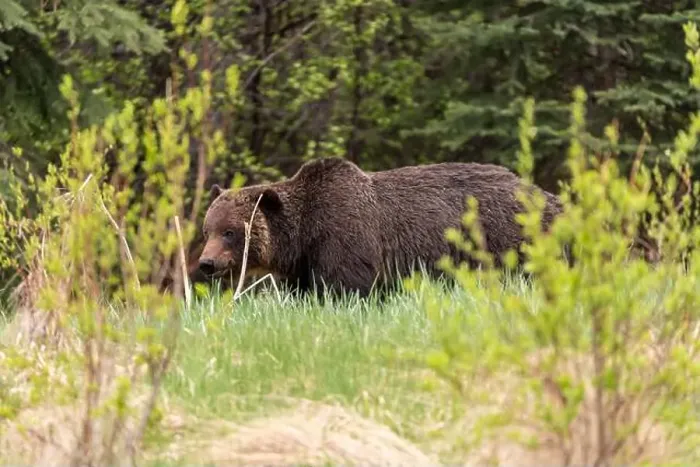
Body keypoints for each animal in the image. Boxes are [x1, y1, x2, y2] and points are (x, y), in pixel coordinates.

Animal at [197, 157, 564, 297]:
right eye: (207, 229)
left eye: (230, 231)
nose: (206, 263)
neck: (303, 235)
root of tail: (546, 196)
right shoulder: (307, 262)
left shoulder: (345, 237)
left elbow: (348, 287)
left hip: (505, 239)